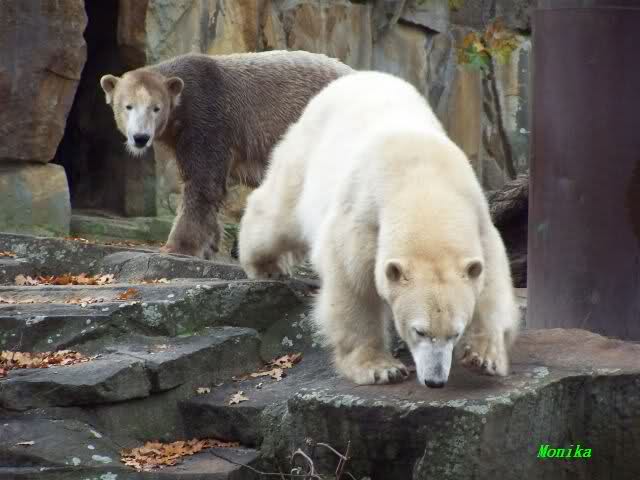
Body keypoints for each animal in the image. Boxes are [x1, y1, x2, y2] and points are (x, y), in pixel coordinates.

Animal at [99, 51, 352, 259]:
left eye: (156, 108)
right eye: (128, 106)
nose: (140, 138)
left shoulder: (207, 117)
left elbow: (203, 183)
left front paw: (176, 246)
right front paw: (210, 245)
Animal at [238, 71, 519, 388]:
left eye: (455, 332)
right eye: (419, 331)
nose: (435, 380)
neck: (424, 184)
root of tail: (356, 76)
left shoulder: (478, 218)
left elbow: (491, 281)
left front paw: (485, 357)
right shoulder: (362, 217)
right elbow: (352, 284)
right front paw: (380, 368)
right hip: (306, 154)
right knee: (278, 214)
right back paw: (265, 265)